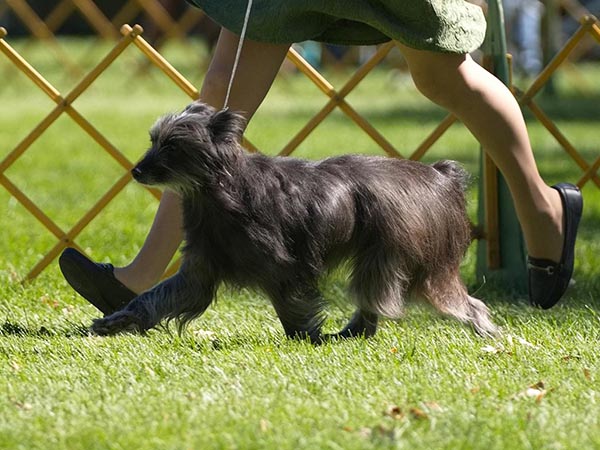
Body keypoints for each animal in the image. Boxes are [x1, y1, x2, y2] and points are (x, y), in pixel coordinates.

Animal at [91, 102, 494, 342]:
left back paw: (486, 332)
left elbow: (292, 307)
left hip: (409, 263)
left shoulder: (282, 267)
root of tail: (439, 176)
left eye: (172, 146)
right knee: (375, 304)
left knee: (456, 302)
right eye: (154, 140)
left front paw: (304, 337)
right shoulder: (199, 272)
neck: (220, 188)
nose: (137, 171)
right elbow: (156, 297)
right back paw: (353, 333)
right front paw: (117, 321)